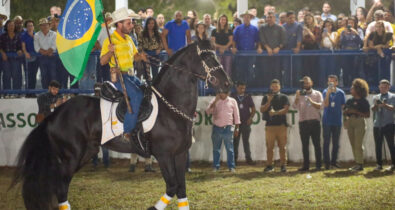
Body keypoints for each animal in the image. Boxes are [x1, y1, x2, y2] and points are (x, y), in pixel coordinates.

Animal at [10, 39, 232, 210]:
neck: (170, 107)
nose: (227, 84)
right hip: (71, 156)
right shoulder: (163, 155)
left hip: (85, 153)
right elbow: (171, 187)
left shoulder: (179, 155)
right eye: (207, 58)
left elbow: (181, 190)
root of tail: (56, 113)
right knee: (61, 187)